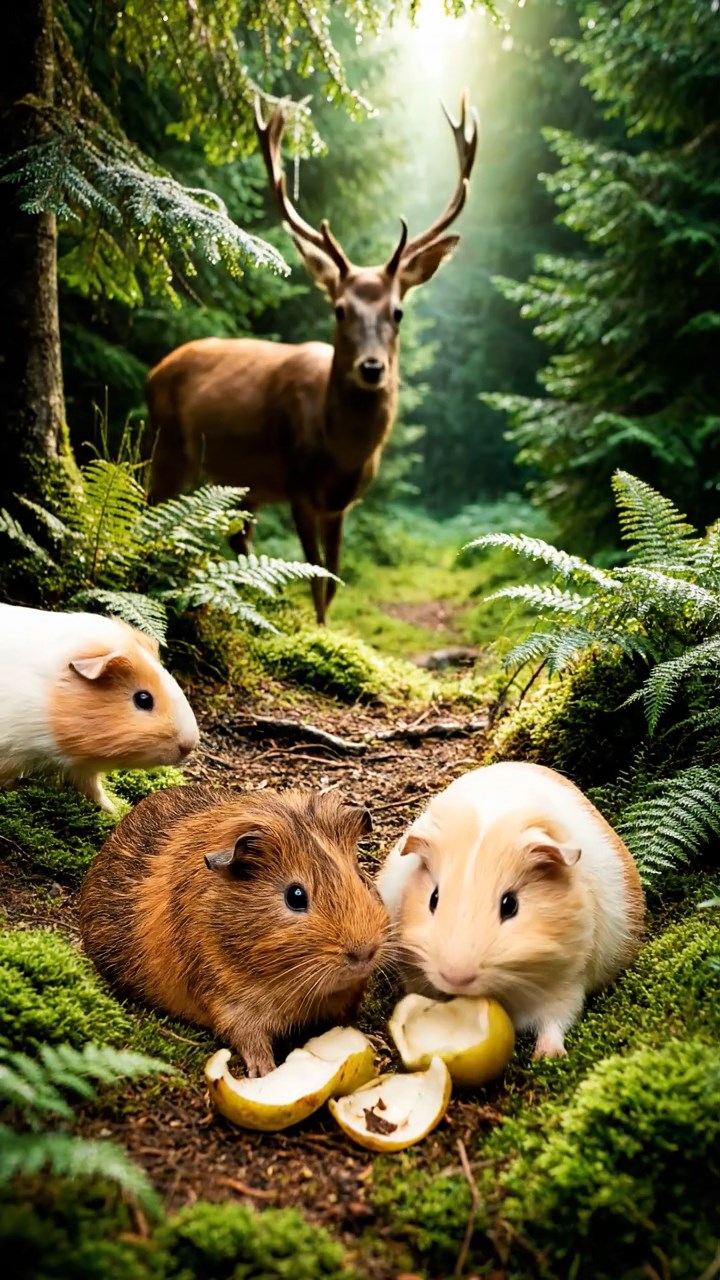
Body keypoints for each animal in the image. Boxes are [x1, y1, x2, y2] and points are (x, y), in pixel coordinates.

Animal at [145, 93, 478, 624]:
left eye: (398, 311)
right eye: (340, 309)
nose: (371, 368)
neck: (340, 451)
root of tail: (155, 370)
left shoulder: (339, 504)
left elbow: (336, 577)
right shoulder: (298, 485)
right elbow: (317, 577)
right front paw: (319, 631)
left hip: (241, 484)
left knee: (238, 541)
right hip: (169, 447)